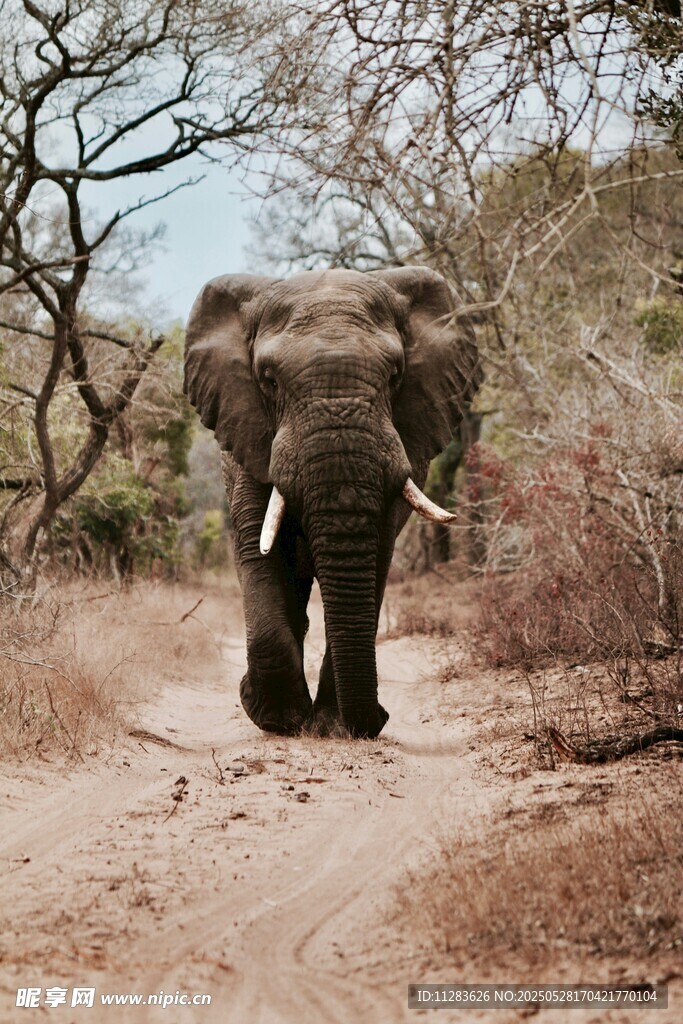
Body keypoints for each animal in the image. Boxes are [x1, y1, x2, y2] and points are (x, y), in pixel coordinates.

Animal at [184, 267, 481, 739]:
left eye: (395, 375)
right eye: (268, 380)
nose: (378, 719)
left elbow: (376, 556)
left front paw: (330, 725)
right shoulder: (249, 434)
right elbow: (258, 547)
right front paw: (278, 719)